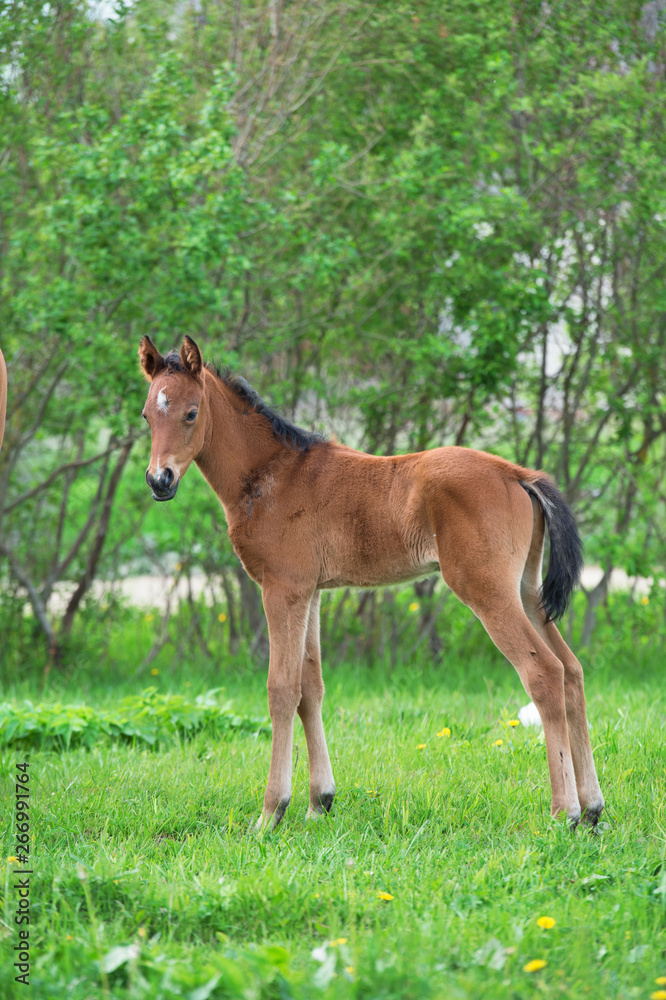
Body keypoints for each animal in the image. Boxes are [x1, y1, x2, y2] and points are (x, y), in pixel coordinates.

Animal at [139, 334, 600, 828]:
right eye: (147, 414)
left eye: (191, 412)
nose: (160, 480)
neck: (273, 475)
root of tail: (518, 474)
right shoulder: (311, 593)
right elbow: (311, 689)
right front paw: (319, 803)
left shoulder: (282, 589)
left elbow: (281, 689)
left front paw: (271, 812)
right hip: (527, 592)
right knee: (572, 671)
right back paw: (593, 809)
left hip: (487, 591)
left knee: (544, 673)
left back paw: (564, 812)